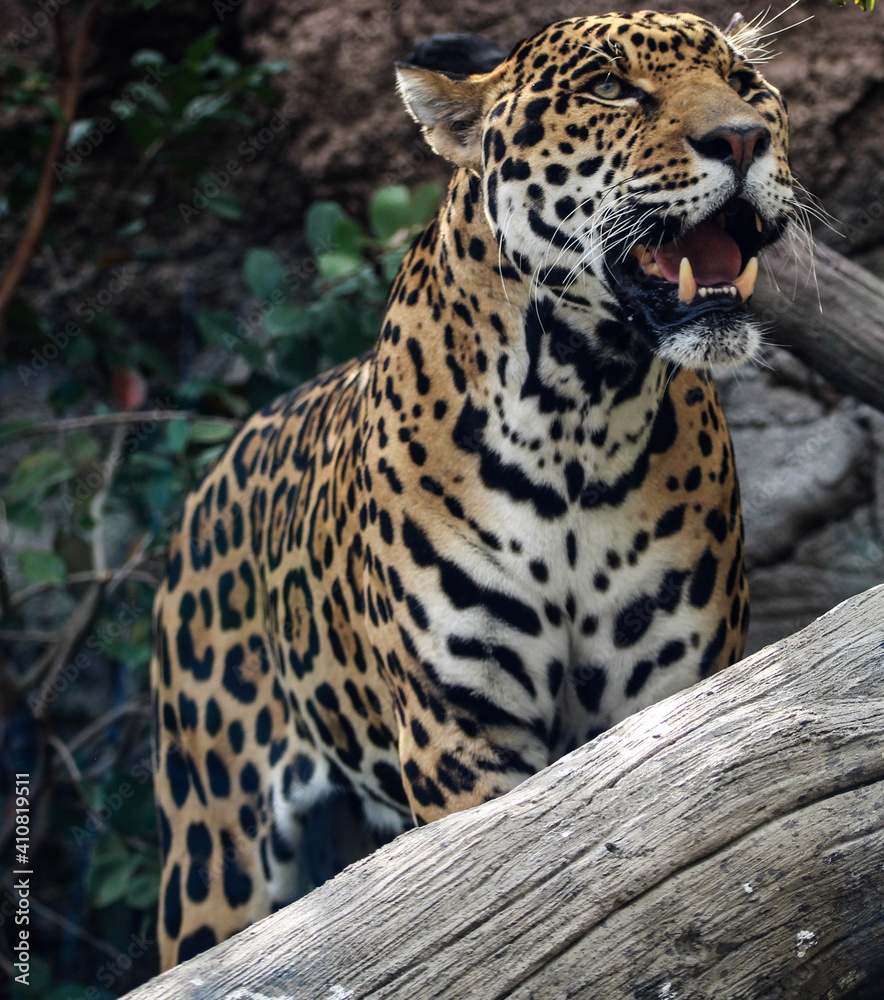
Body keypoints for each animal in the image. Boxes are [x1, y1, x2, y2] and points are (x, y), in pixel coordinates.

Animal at [151, 10, 797, 970]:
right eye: (609, 88)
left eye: (743, 83)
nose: (743, 137)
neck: (581, 405)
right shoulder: (462, 732)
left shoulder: (670, 699)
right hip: (213, 847)